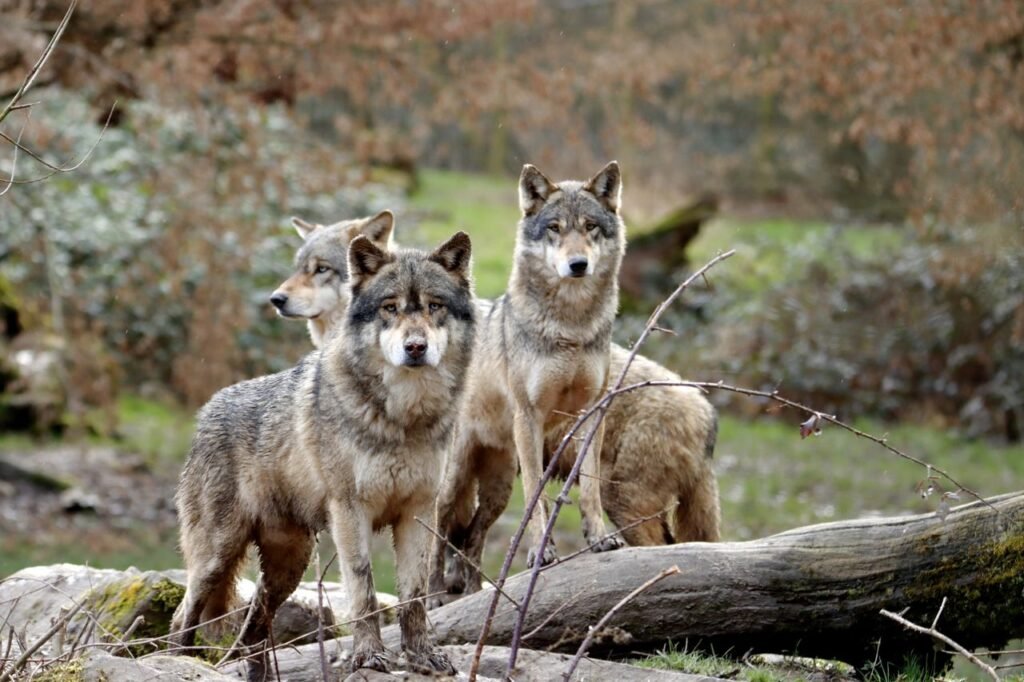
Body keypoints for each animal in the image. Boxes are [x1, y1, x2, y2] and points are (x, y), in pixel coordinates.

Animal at [171, 232, 474, 680]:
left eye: (434, 306)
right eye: (390, 308)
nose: (415, 348)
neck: (402, 417)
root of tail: (206, 410)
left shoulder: (419, 511)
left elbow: (414, 596)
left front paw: (422, 657)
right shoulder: (350, 511)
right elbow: (364, 591)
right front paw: (369, 656)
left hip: (289, 566)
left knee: (253, 629)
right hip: (216, 558)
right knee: (184, 616)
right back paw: (177, 661)